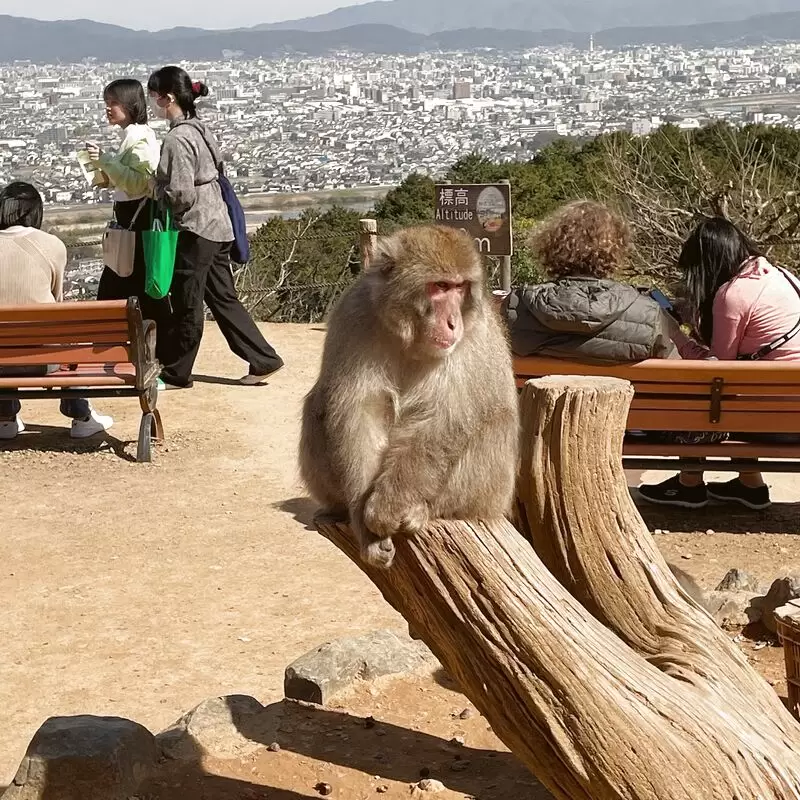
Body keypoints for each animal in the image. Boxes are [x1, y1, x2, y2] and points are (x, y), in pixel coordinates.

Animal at [298, 222, 520, 564]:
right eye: (440, 286)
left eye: (460, 287)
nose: (453, 322)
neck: (411, 338)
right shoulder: (355, 313)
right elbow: (361, 409)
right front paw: (365, 523)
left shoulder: (475, 330)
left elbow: (444, 417)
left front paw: (387, 508)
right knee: (317, 406)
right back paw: (337, 509)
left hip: (490, 494)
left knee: (494, 422)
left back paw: (422, 509)